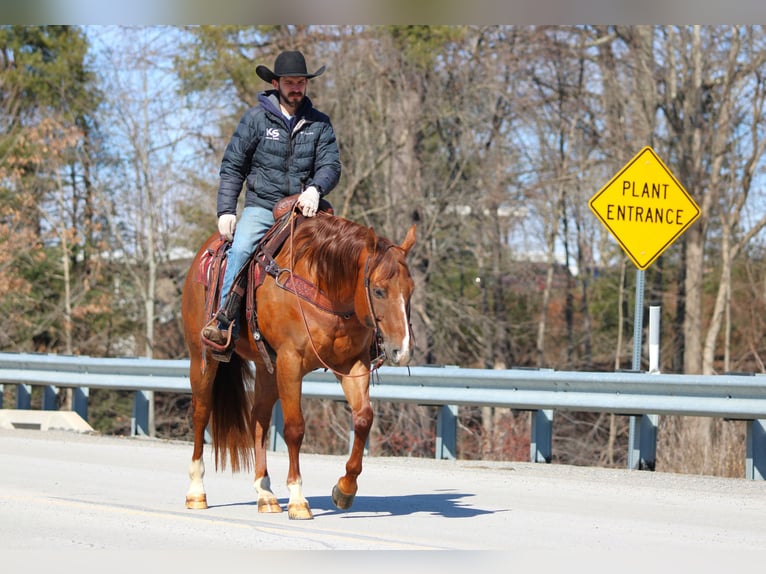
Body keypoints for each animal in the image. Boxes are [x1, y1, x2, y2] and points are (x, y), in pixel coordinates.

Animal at [180, 203, 416, 520]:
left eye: (410, 290)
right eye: (378, 290)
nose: (402, 350)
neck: (325, 287)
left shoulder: (352, 364)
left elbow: (364, 418)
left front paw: (345, 489)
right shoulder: (291, 362)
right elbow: (295, 428)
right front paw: (297, 498)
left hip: (267, 368)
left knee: (259, 418)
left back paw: (265, 494)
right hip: (202, 357)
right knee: (201, 413)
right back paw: (196, 492)